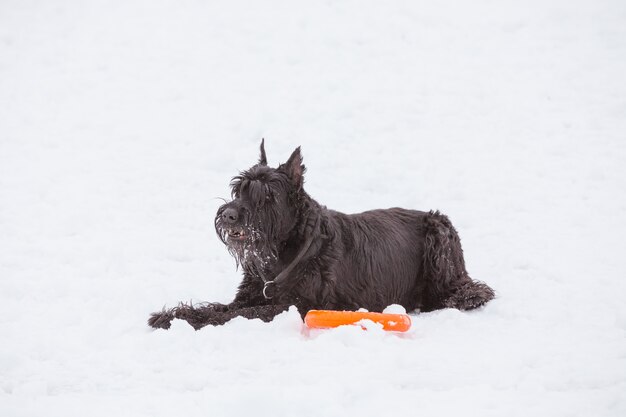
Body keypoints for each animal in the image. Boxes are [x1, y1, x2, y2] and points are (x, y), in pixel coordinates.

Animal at [147, 141, 492, 330]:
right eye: (238, 189)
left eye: (267, 195)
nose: (229, 214)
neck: (285, 253)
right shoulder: (248, 296)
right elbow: (218, 308)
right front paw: (170, 316)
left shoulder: (295, 307)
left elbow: (238, 315)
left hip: (439, 237)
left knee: (471, 291)